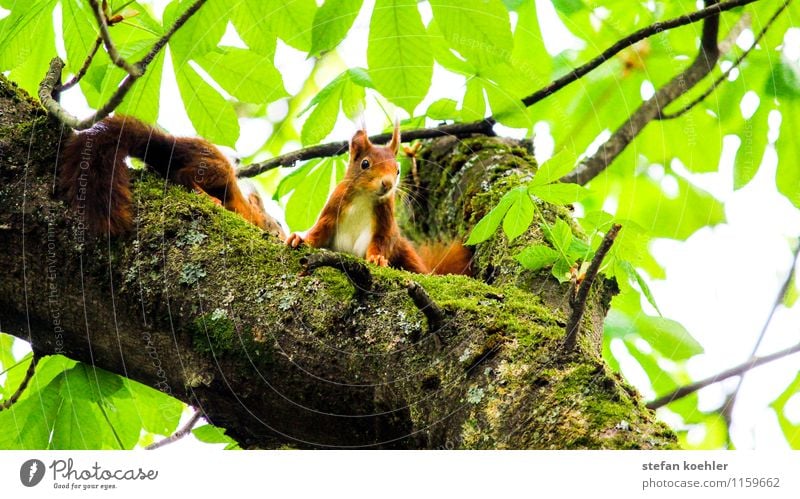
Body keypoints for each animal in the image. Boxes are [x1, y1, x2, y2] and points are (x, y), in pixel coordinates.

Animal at [57, 115, 282, 238]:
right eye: (278, 223)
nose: (281, 235)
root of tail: (169, 146)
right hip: (216, 167)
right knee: (183, 176)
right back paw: (207, 196)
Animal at [286, 123, 468, 276]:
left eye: (397, 170)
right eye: (365, 163)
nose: (388, 183)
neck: (364, 197)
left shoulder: (385, 222)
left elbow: (382, 242)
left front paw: (377, 258)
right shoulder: (333, 209)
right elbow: (319, 231)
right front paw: (299, 239)